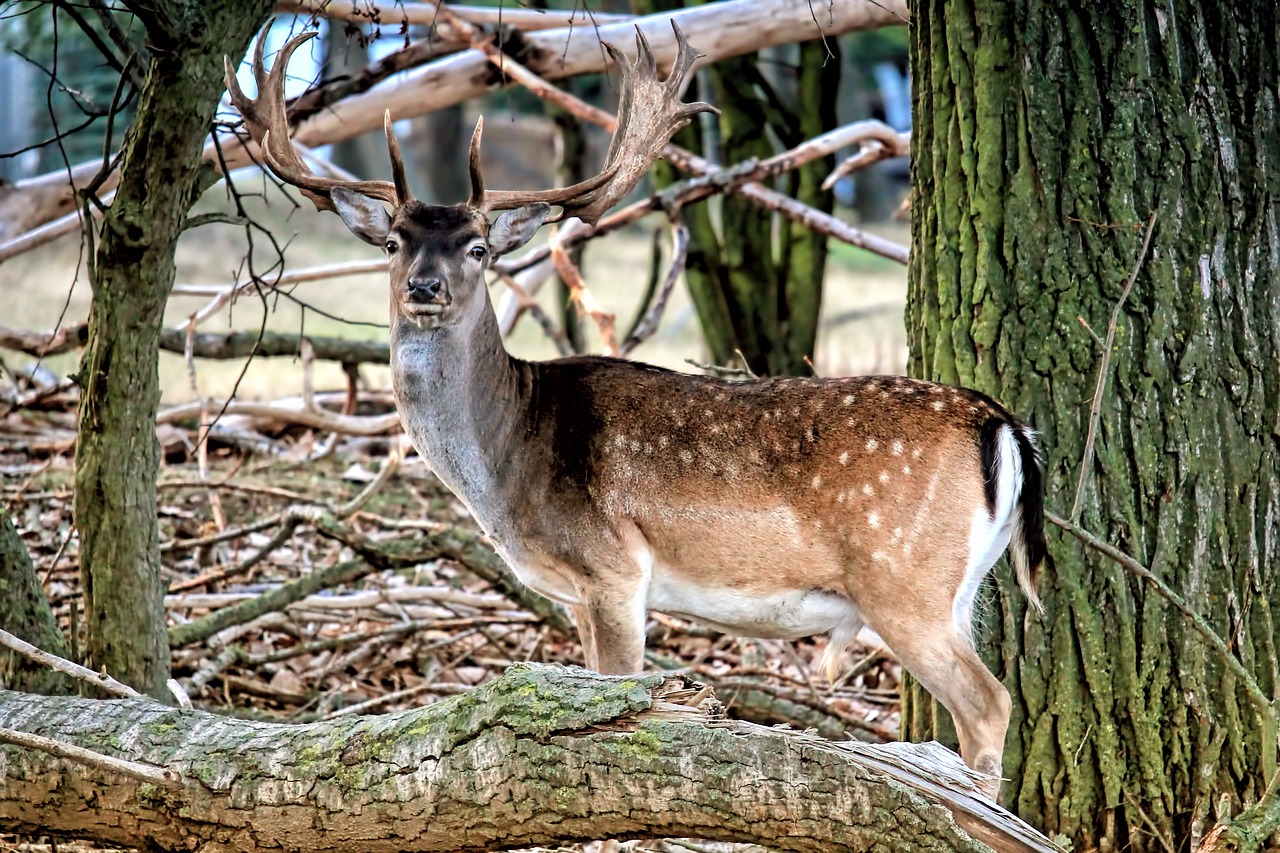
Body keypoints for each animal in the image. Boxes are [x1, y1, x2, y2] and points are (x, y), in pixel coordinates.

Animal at [227, 24, 1049, 799]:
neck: (509, 458)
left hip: (902, 577)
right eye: (395, 242)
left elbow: (618, 707)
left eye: (478, 247)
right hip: (957, 586)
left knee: (990, 703)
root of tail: (1002, 424)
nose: (424, 287)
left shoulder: (614, 567)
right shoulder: (578, 594)